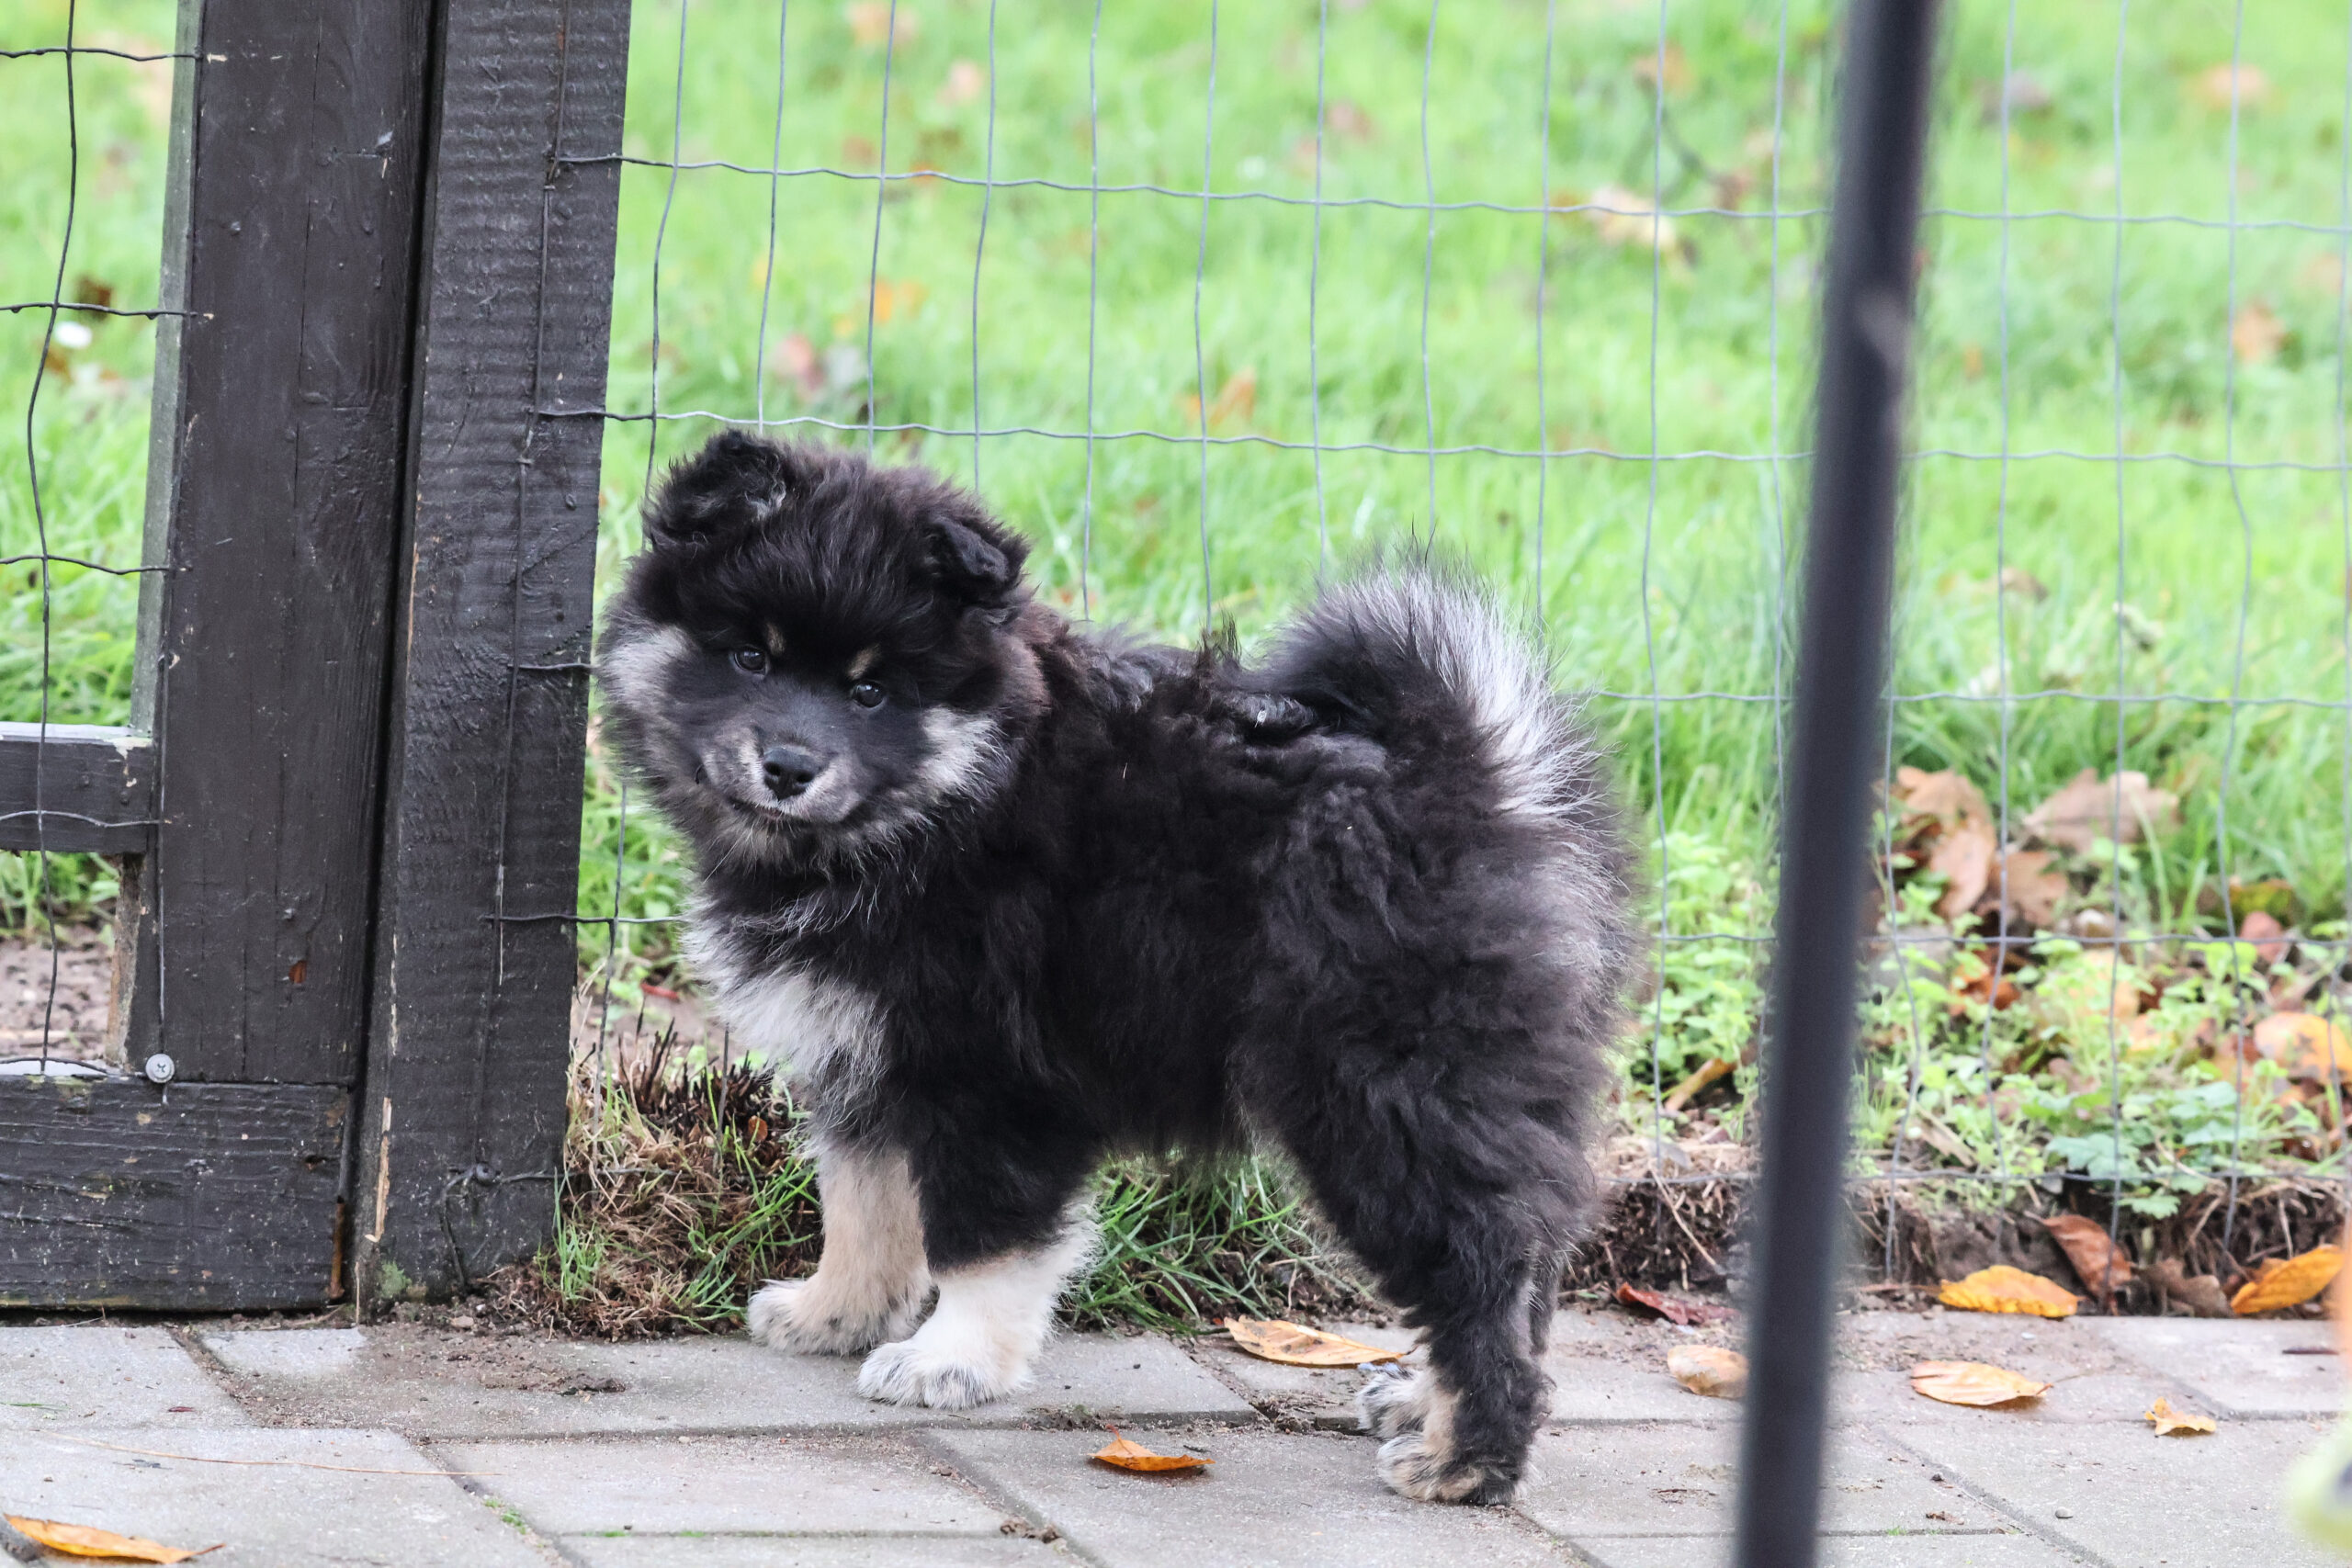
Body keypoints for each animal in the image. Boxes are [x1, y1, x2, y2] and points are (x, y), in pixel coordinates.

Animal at [598, 432, 1640, 1504]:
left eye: (870, 691)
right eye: (749, 657)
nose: (790, 767)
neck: (938, 807)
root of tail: (1473, 776)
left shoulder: (991, 1072)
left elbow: (981, 1238)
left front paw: (948, 1360)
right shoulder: (868, 1053)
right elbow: (864, 1202)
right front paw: (834, 1311)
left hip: (1377, 1083)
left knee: (1481, 1261)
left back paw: (1462, 1456)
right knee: (1524, 1251)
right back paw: (1419, 1402)